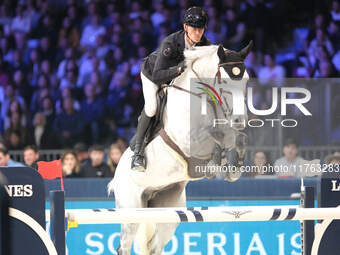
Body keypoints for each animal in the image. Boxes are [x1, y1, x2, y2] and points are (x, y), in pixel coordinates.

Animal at [109, 42, 252, 254]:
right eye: (225, 81)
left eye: (246, 79)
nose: (239, 120)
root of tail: (116, 177)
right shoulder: (188, 139)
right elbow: (211, 139)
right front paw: (215, 166)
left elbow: (234, 138)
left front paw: (232, 168)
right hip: (131, 209)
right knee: (124, 246)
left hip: (167, 208)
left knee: (154, 246)